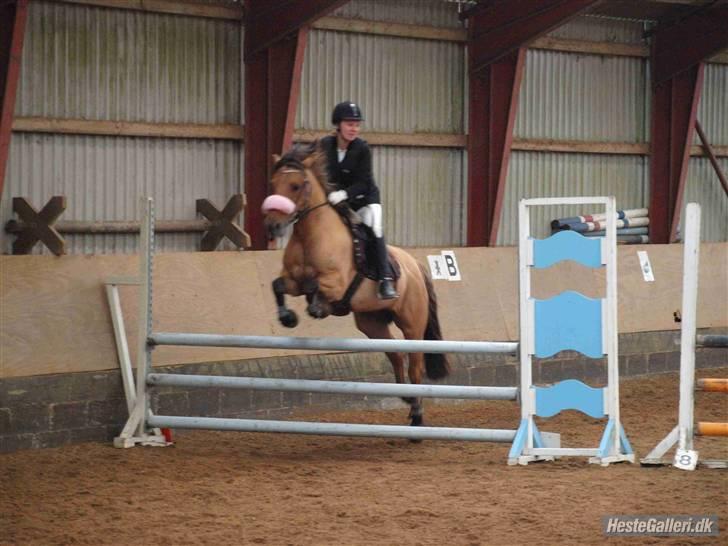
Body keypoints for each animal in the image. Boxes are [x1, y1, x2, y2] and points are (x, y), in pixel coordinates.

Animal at [258, 142, 446, 428]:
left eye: (296, 185)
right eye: (273, 183)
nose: (273, 225)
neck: (310, 235)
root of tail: (415, 264)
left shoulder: (335, 284)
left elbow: (314, 286)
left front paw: (317, 308)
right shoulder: (292, 280)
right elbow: (278, 285)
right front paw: (288, 317)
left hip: (412, 324)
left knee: (416, 365)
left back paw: (416, 417)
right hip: (372, 323)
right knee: (395, 354)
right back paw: (405, 397)